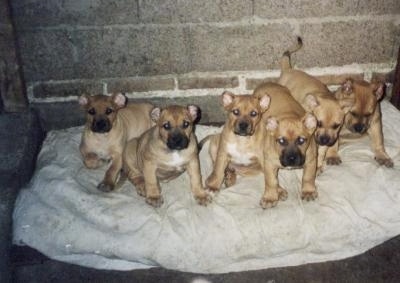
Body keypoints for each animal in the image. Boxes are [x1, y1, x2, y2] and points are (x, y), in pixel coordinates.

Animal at [278, 37, 354, 171]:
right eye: (319, 123)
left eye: (336, 126)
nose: (324, 140)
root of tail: (288, 69)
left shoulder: (331, 137)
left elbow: (326, 148)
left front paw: (323, 161)